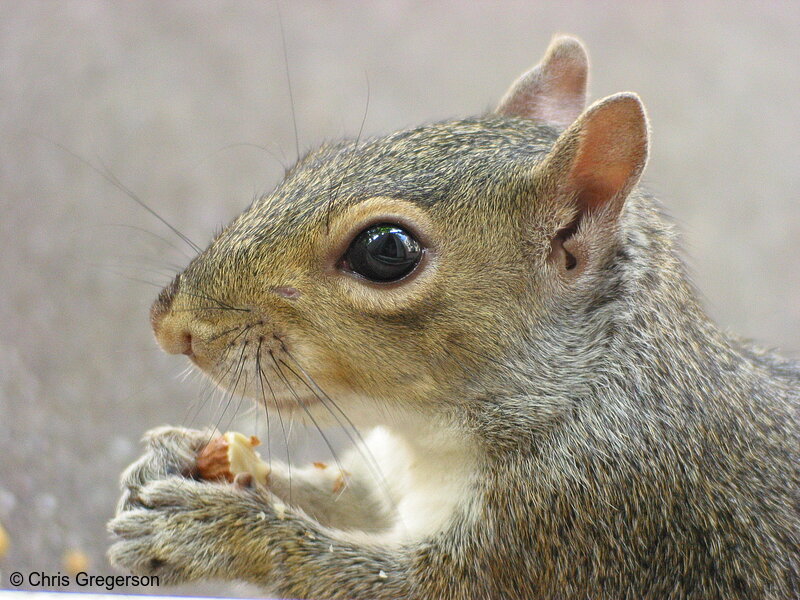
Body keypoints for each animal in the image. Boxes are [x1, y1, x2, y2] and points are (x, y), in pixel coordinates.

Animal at [108, 37, 800, 600]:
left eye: (386, 250)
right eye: (315, 160)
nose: (171, 327)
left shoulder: (574, 525)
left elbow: (360, 574)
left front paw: (210, 527)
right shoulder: (393, 482)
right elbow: (348, 497)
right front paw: (182, 457)